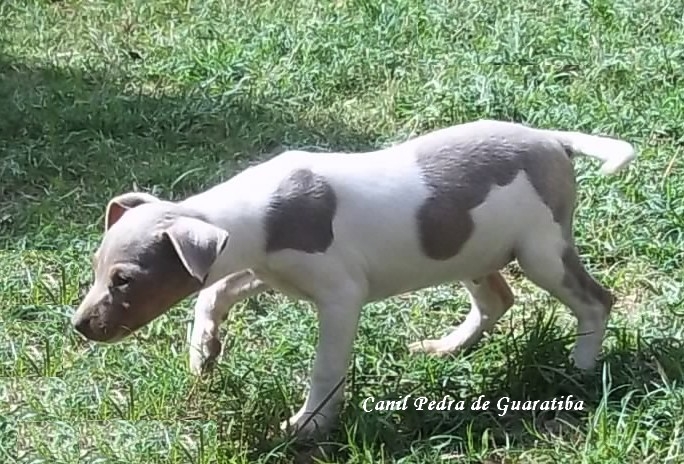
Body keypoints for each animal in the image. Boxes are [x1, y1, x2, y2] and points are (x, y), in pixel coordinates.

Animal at [71, 119, 636, 438]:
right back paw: (446, 348)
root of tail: (553, 140)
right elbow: (211, 292)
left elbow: (325, 368)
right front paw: (202, 352)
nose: (78, 326)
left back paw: (581, 369)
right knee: (496, 299)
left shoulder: (341, 296)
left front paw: (309, 426)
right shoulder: (268, 270)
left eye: (124, 280)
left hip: (541, 250)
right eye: (97, 270)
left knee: (595, 300)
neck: (253, 216)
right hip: (472, 248)